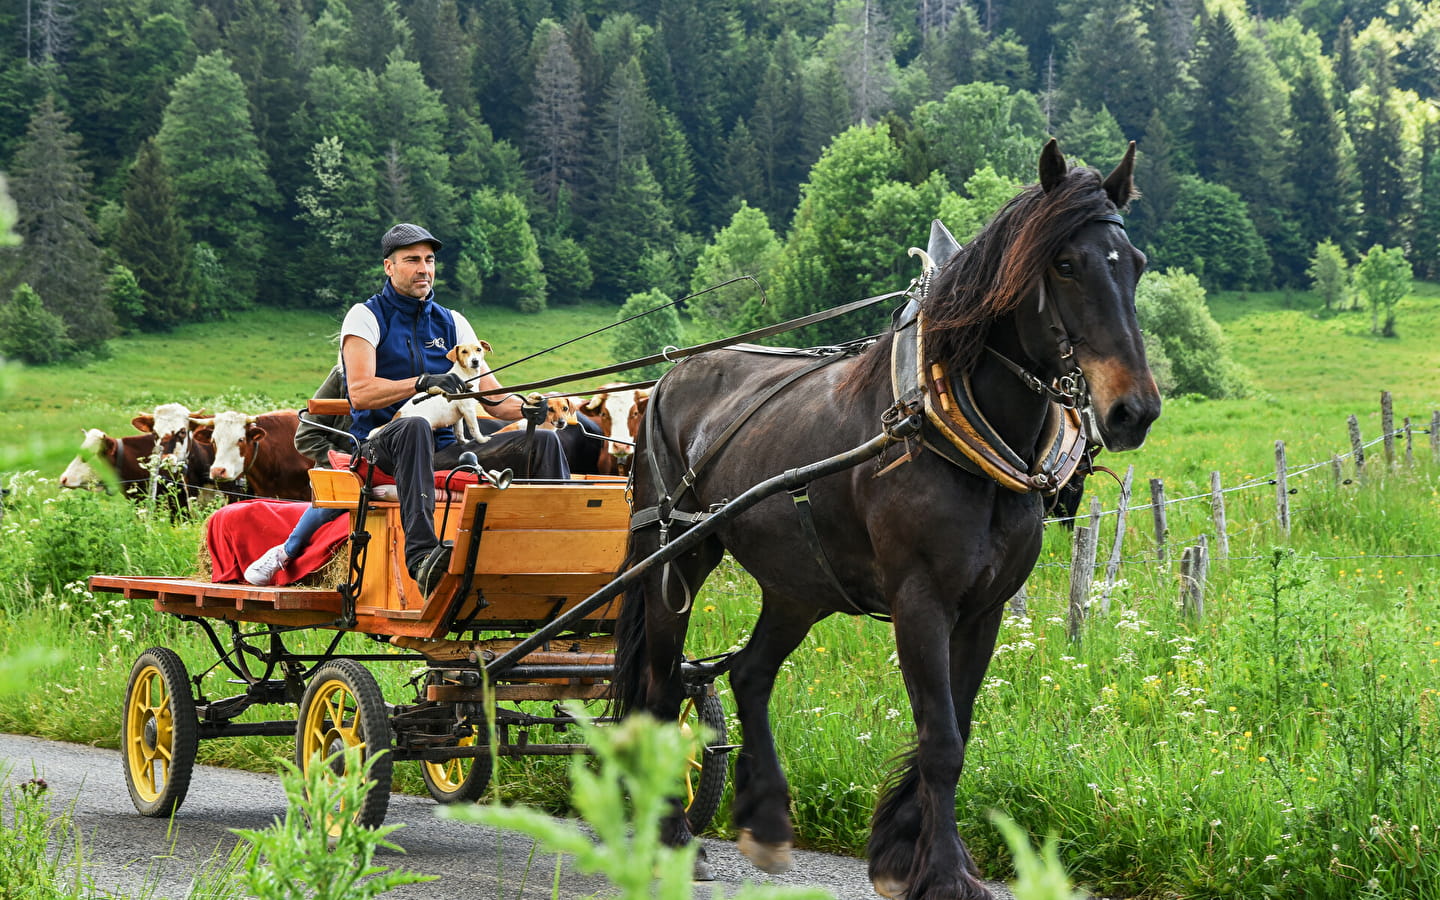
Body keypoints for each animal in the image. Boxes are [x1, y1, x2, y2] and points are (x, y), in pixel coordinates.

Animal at [613, 140, 1163, 898]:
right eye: (1065, 264)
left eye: (1133, 262)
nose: (1133, 410)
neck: (946, 425)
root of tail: (667, 379)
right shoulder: (920, 600)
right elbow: (941, 740)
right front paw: (941, 871)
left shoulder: (984, 607)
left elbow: (959, 725)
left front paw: (912, 851)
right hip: (675, 558)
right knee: (664, 691)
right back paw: (671, 837)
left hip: (799, 584)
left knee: (750, 674)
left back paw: (766, 818)